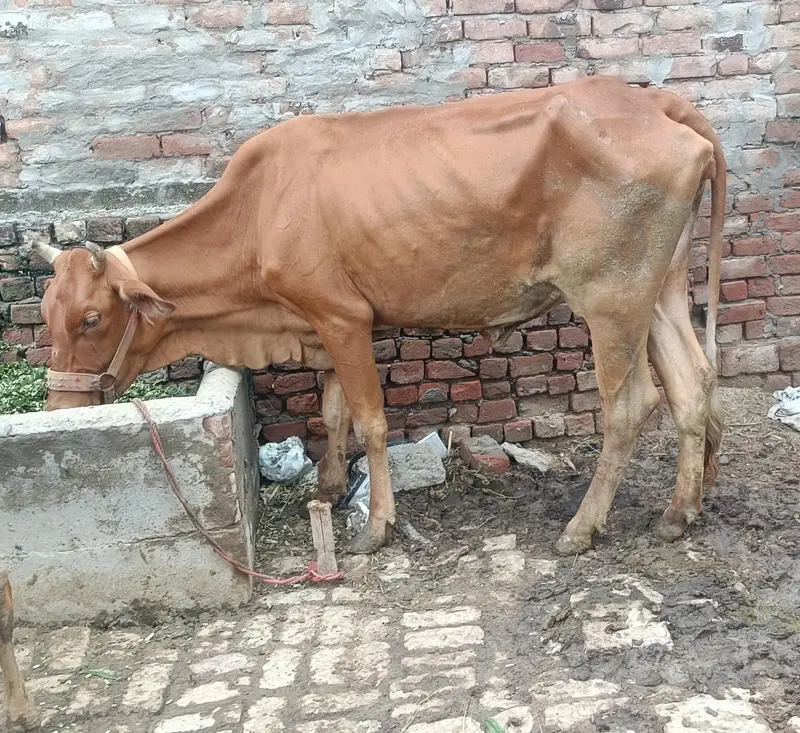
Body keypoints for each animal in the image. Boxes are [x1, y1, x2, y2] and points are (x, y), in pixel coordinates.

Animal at [33, 75, 725, 557]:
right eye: (47, 314)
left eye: (91, 319)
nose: (60, 407)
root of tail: (659, 105)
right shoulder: (320, 326)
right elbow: (333, 409)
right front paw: (328, 488)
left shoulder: (342, 318)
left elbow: (368, 420)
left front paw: (376, 526)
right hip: (658, 293)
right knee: (693, 384)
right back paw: (680, 511)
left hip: (610, 300)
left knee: (631, 404)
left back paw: (582, 527)